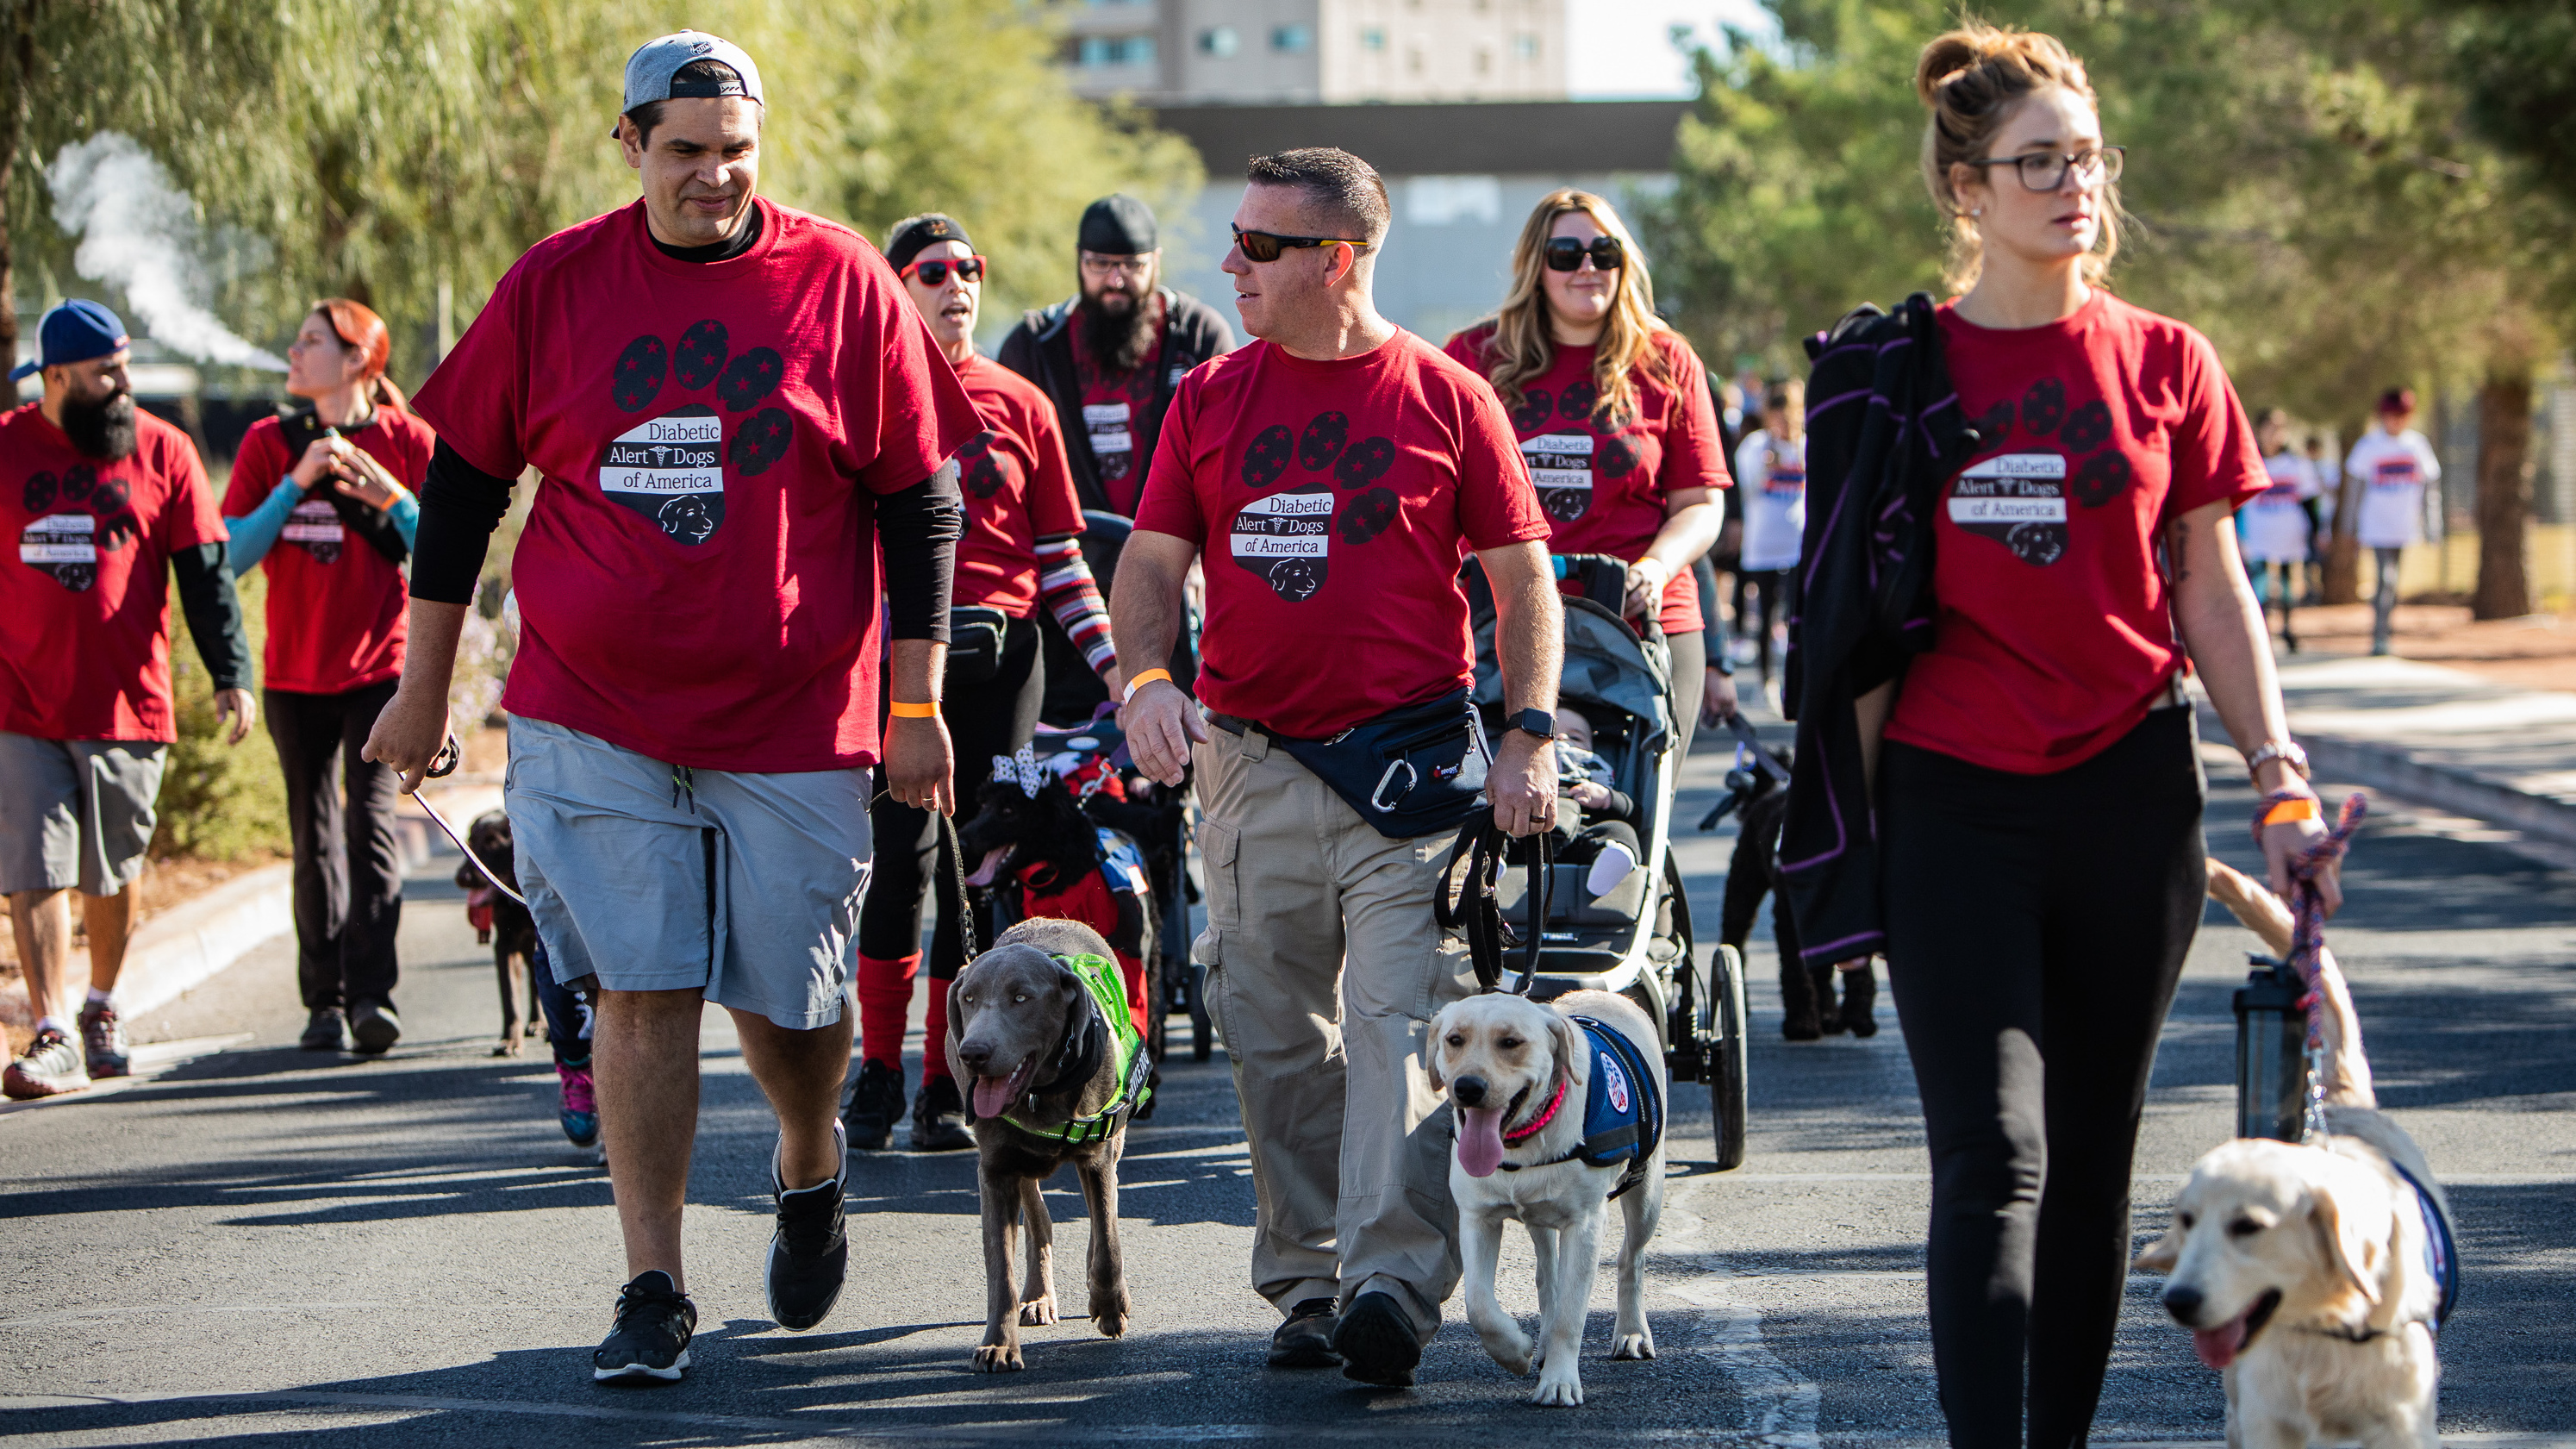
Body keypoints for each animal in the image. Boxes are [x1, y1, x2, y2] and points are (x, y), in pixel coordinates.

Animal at [458, 815, 543, 1046]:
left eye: (492, 843)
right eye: (471, 839)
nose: (462, 878)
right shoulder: (505, 945)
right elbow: (509, 996)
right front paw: (510, 1040)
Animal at [1431, 984, 1668, 1402]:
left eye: (1511, 1042)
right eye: (1454, 1040)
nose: (1468, 1087)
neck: (1523, 1144)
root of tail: (1602, 993)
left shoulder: (1585, 1224)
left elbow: (1571, 1317)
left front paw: (1559, 1382)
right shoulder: (1477, 1218)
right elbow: (1479, 1305)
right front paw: (1515, 1351)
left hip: (1647, 1196)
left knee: (1631, 1258)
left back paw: (1632, 1331)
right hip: (1538, 1218)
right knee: (1547, 1275)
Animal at [1720, 758, 1885, 1036]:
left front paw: (1858, 1017)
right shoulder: (1789, 922)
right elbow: (1796, 971)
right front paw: (1802, 1024)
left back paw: (1829, 1016)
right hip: (1742, 890)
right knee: (1735, 941)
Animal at [2132, 861, 2452, 1433]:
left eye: (2248, 1227)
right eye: (2186, 1221)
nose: (2179, 1300)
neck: (2322, 1322)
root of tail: (2337, 1101)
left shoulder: (2403, 1421)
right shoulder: (2266, 1417)